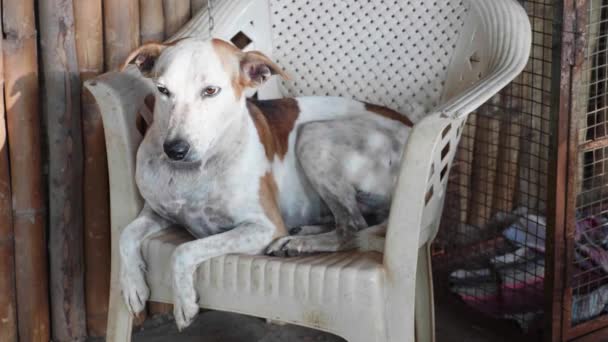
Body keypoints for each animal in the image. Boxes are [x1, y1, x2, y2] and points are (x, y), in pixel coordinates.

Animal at [119, 37, 414, 328]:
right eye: (163, 90)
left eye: (210, 91)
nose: (175, 150)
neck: (194, 171)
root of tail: (409, 129)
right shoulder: (156, 211)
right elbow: (126, 234)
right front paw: (132, 286)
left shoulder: (264, 227)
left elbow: (184, 249)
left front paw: (183, 303)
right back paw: (303, 232)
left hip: (312, 137)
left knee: (352, 225)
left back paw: (299, 243)